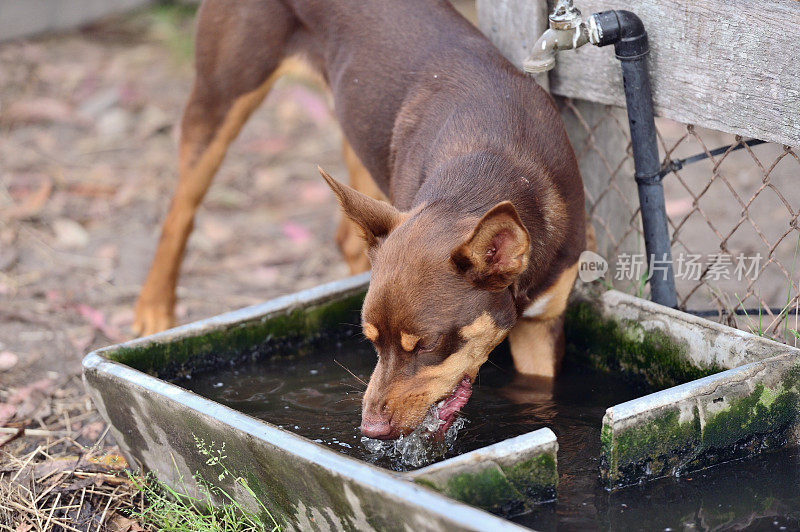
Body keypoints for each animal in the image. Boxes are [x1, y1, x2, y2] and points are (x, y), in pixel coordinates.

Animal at [130, 1, 580, 440]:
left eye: (426, 345)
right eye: (372, 342)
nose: (371, 429)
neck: (492, 161)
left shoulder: (543, 326)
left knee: (347, 238)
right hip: (222, 95)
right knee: (180, 210)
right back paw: (154, 307)